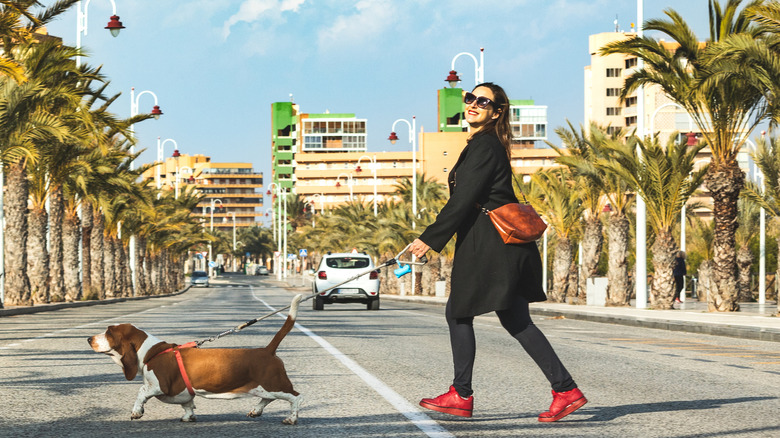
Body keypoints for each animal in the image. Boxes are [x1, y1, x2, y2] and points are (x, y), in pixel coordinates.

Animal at [88, 294, 302, 424]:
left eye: (109, 332)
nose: (89, 338)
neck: (149, 351)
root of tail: (267, 350)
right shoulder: (182, 391)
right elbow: (188, 404)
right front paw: (188, 417)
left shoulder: (160, 386)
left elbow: (141, 393)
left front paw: (136, 412)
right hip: (266, 387)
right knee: (267, 399)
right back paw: (256, 411)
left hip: (275, 384)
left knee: (295, 397)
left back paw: (291, 419)